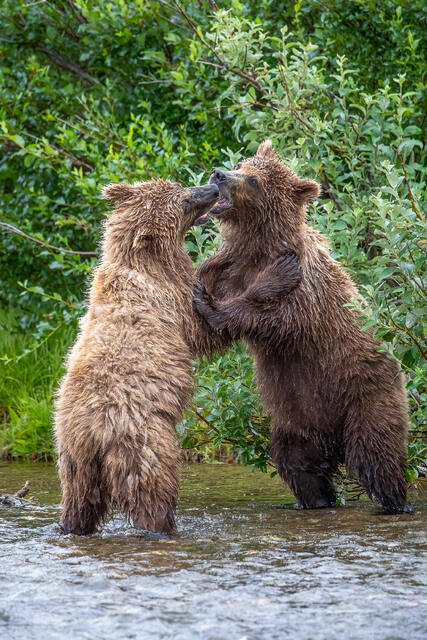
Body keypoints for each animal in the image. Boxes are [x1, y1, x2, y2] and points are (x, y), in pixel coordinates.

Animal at [55, 177, 300, 536]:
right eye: (184, 200)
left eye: (178, 184)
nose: (211, 186)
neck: (146, 260)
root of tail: (95, 432)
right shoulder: (173, 300)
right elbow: (206, 330)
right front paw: (278, 272)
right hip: (143, 445)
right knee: (154, 490)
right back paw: (161, 526)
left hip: (73, 458)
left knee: (79, 501)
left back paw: (70, 525)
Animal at [194, 140, 411, 514]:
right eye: (241, 164)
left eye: (253, 180)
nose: (218, 174)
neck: (257, 247)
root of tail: (334, 438)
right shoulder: (229, 268)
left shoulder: (307, 292)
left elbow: (275, 317)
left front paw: (216, 304)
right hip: (297, 419)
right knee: (296, 462)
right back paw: (316, 499)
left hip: (365, 393)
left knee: (376, 453)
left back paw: (397, 501)